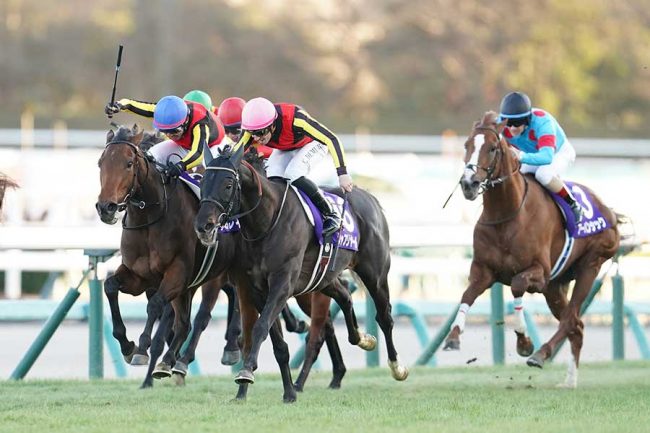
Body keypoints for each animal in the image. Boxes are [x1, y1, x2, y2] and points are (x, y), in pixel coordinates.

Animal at [195, 147, 408, 402]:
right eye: (203, 181)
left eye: (228, 184)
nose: (203, 226)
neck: (267, 221)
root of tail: (369, 197)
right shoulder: (257, 289)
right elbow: (277, 342)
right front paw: (287, 392)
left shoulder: (282, 284)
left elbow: (260, 327)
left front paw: (246, 373)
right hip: (323, 278)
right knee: (345, 296)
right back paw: (361, 339)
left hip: (374, 274)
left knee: (384, 316)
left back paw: (397, 367)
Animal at [443, 111, 621, 388]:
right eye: (467, 146)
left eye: (492, 148)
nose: (469, 183)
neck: (506, 216)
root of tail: (609, 210)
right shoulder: (484, 271)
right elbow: (467, 295)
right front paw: (453, 337)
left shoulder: (539, 273)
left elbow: (517, 285)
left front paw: (525, 342)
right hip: (555, 286)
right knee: (577, 326)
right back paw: (569, 381)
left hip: (590, 266)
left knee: (571, 319)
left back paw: (541, 354)